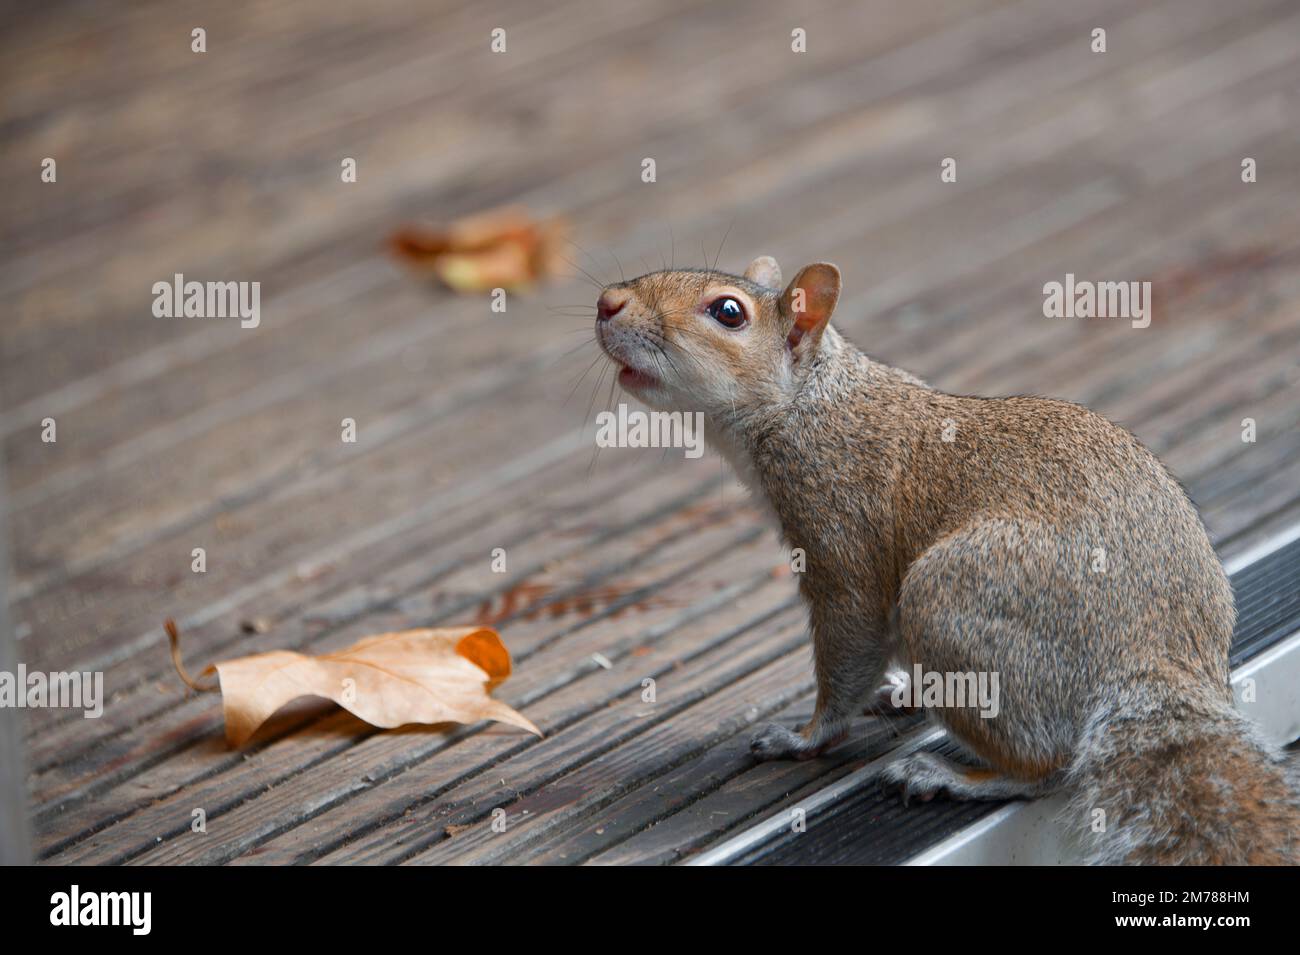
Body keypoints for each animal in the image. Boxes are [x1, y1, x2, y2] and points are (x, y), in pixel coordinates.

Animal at [595, 255, 1294, 867]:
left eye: (728, 312)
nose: (607, 303)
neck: (809, 404)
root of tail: (1156, 657)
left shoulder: (840, 540)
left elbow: (848, 649)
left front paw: (804, 737)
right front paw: (886, 698)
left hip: (951, 601)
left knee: (1047, 771)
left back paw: (950, 775)